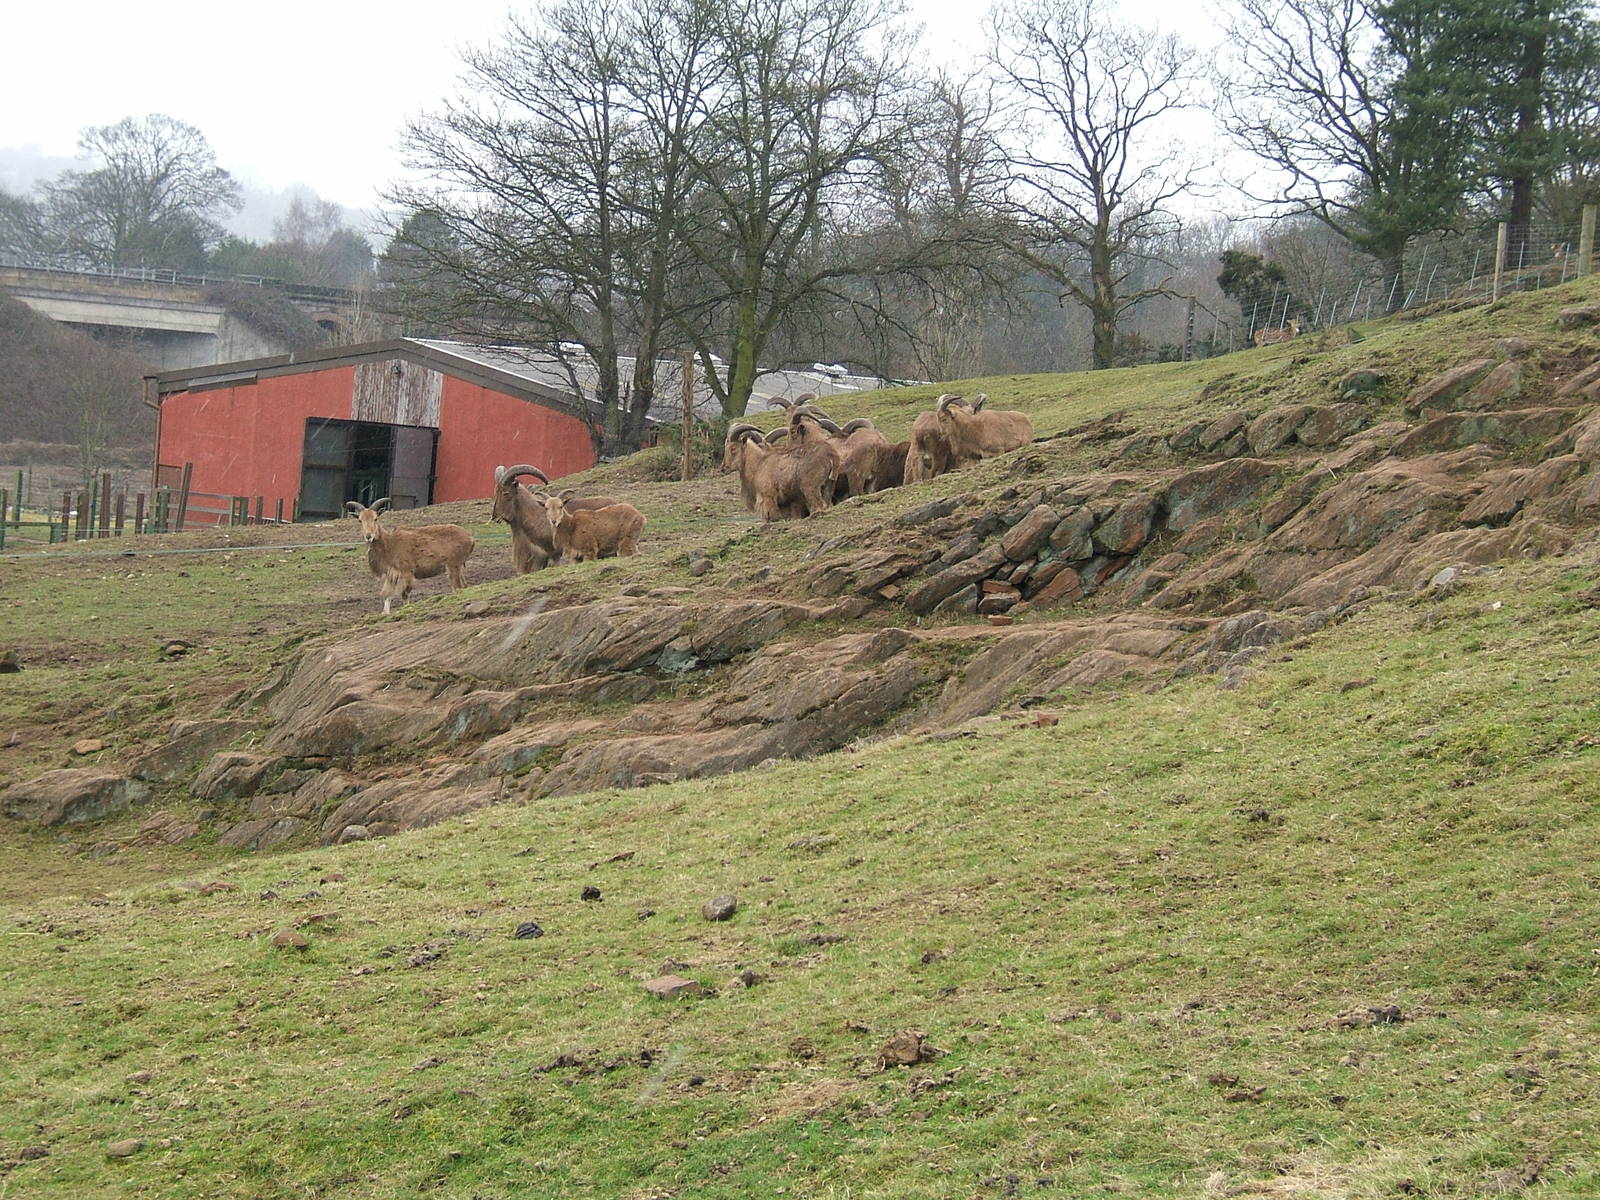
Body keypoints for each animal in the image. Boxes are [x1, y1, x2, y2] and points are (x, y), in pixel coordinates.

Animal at [345, 499, 475, 615]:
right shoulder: (391, 574)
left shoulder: (407, 572)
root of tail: (470, 538)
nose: (369, 536)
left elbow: (404, 594)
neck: (390, 544)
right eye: (360, 520)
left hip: (453, 565)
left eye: (376, 518)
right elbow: (388, 595)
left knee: (457, 587)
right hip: (459, 567)